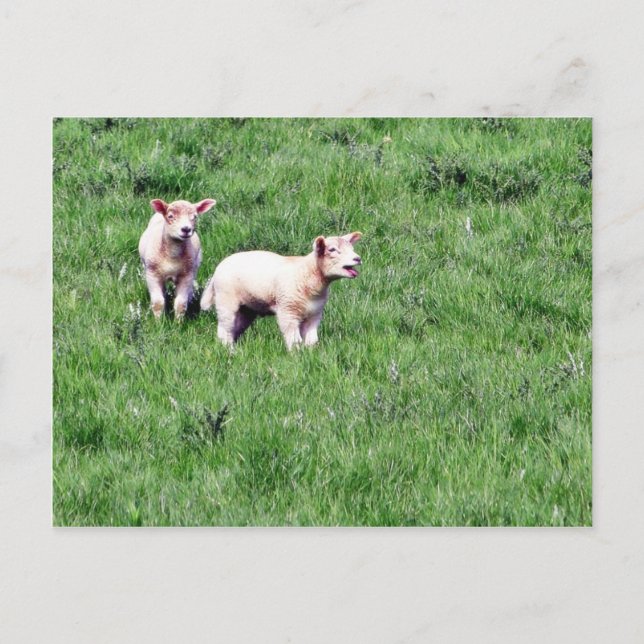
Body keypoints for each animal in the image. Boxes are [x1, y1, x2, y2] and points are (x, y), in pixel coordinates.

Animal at [200, 232, 362, 349]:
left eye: (352, 249)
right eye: (332, 250)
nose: (358, 258)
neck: (307, 274)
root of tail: (217, 270)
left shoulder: (315, 313)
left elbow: (311, 339)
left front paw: (311, 353)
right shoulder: (287, 311)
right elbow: (293, 338)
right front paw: (296, 355)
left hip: (247, 308)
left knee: (235, 328)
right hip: (226, 300)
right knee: (225, 328)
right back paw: (229, 350)